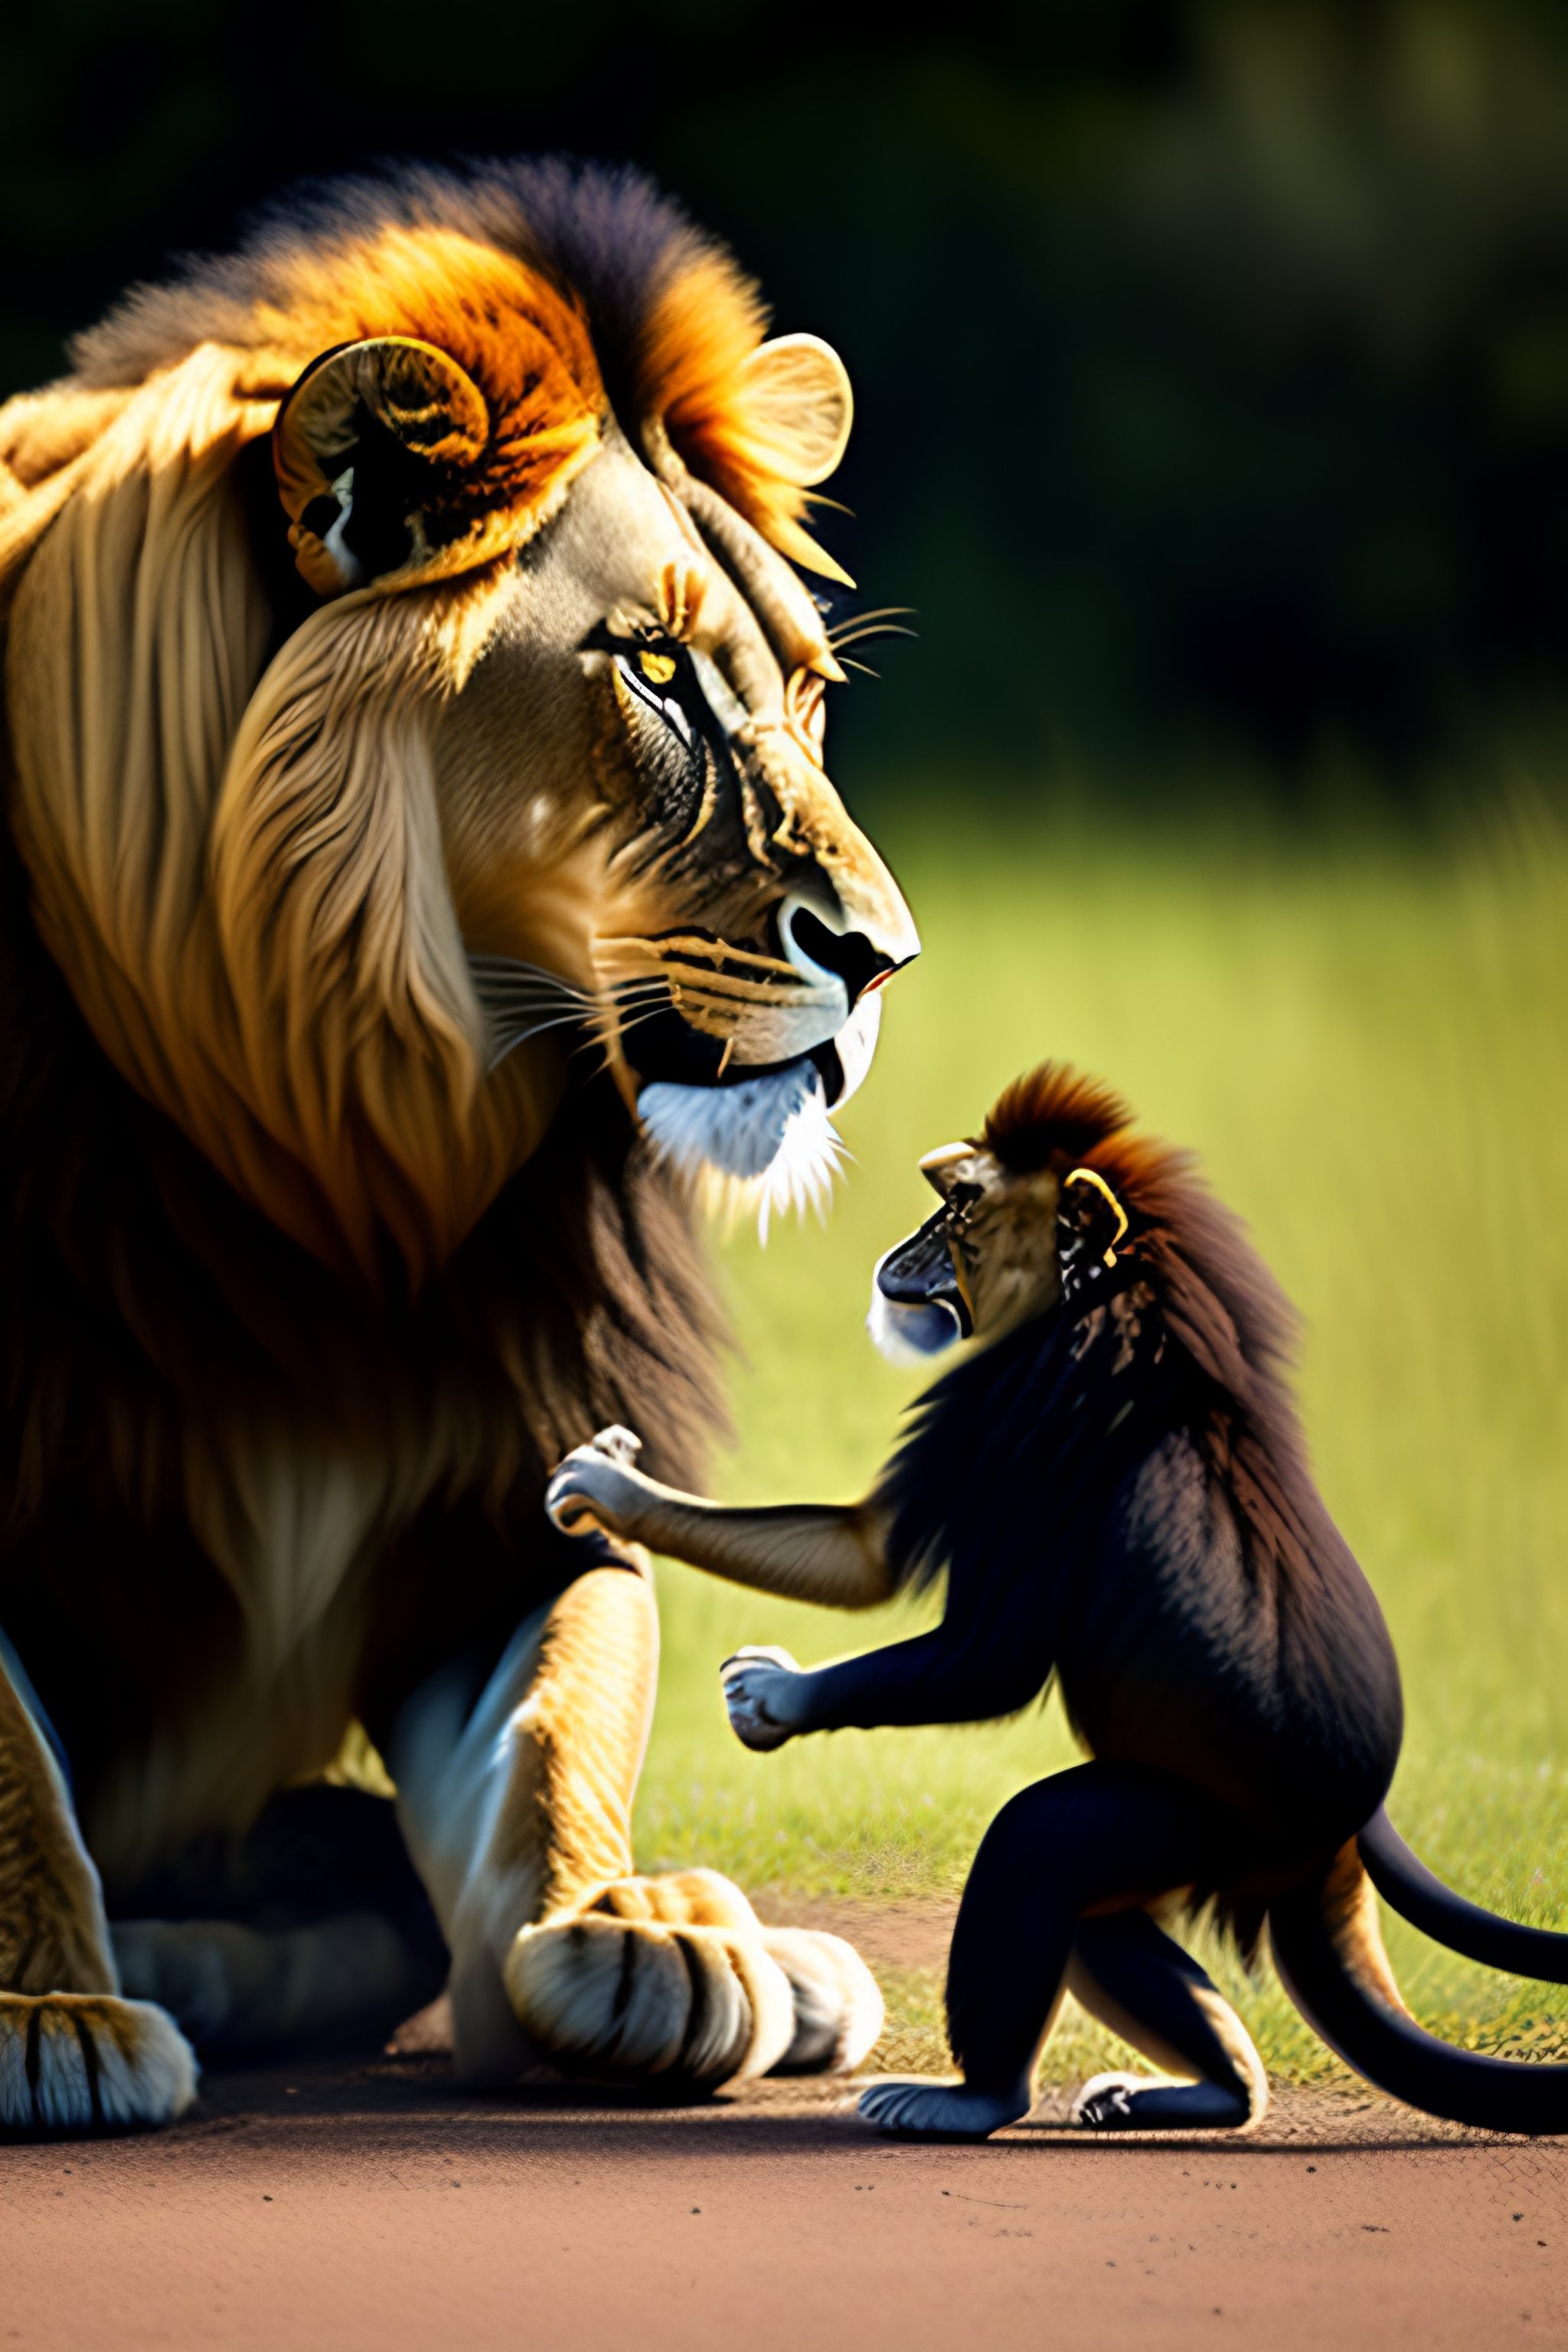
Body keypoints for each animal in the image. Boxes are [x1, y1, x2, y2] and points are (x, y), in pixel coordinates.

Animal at [0, 160, 915, 2133]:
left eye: (803, 694)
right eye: (652, 672)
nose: (883, 959)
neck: (337, 1134)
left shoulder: (502, 1463)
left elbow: (573, 1685)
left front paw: (639, 1934)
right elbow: (8, 1755)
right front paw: (48, 2010)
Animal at [545, 1063, 1568, 2139]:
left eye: (958, 1202)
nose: (895, 1257)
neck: (1119, 1301)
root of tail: (1334, 1841)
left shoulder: (1006, 1430)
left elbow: (942, 1623)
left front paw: (738, 1656)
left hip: (1183, 1823)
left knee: (1027, 1853)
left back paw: (964, 2101)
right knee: (1102, 1931)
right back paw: (1203, 2091)